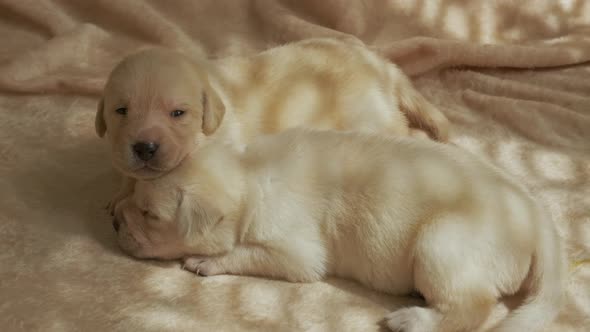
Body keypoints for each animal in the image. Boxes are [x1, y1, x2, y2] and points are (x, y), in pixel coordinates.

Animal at [95, 37, 450, 214]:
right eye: (121, 111)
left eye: (178, 113)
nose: (144, 147)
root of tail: (383, 65)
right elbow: (129, 175)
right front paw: (121, 193)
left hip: (366, 115)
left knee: (405, 131)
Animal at [114, 128, 564, 332]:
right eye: (133, 194)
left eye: (150, 215)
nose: (115, 220)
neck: (248, 174)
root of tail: (537, 217)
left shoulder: (294, 252)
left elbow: (244, 253)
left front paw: (203, 261)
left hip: (441, 244)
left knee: (473, 307)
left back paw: (412, 319)